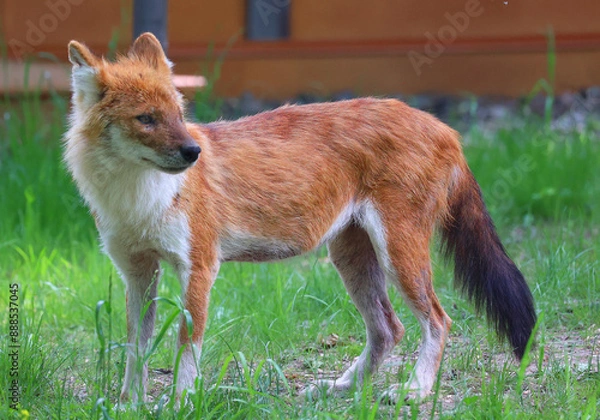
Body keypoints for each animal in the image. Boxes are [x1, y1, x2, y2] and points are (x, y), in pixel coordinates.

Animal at [64, 33, 536, 404]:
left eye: (179, 115)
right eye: (146, 119)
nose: (194, 152)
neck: (137, 198)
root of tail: (443, 126)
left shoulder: (198, 268)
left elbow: (186, 348)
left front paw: (179, 404)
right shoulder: (138, 274)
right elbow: (135, 349)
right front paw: (128, 405)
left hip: (398, 255)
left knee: (438, 320)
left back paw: (416, 391)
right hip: (351, 258)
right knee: (389, 328)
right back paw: (340, 388)